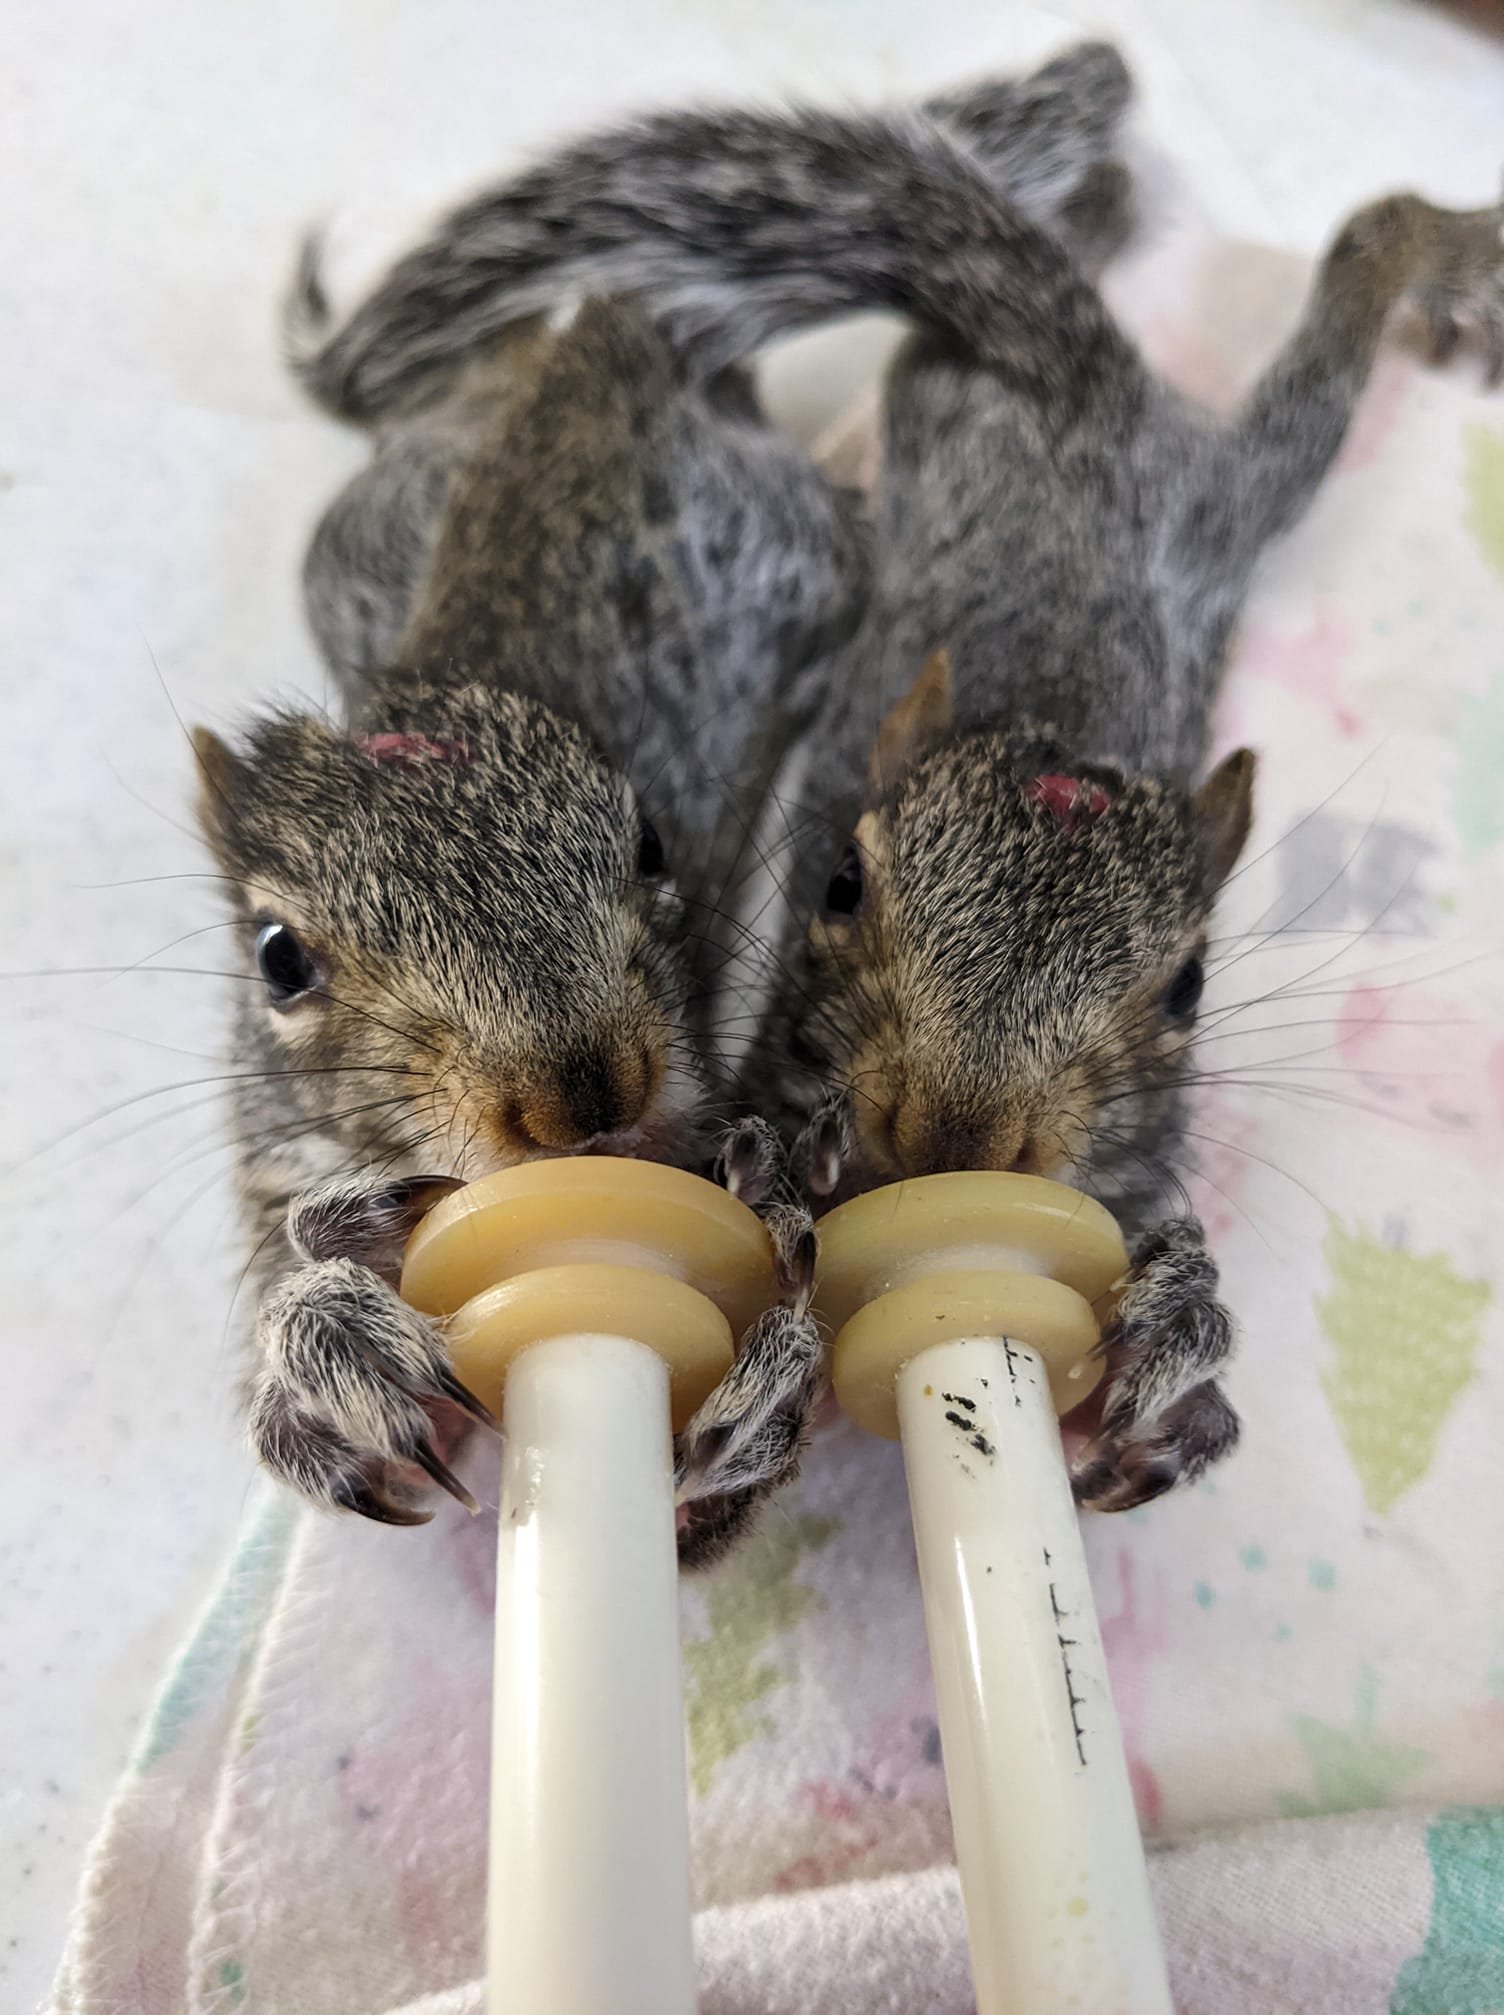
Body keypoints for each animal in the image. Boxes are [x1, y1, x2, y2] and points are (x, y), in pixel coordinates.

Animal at [196, 47, 1129, 1563]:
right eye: (279, 957)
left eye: (643, 844)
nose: (583, 1091)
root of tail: (613, 335)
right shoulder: (272, 1143)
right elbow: (276, 1270)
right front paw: (320, 1348)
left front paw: (765, 1379)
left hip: (795, 550)